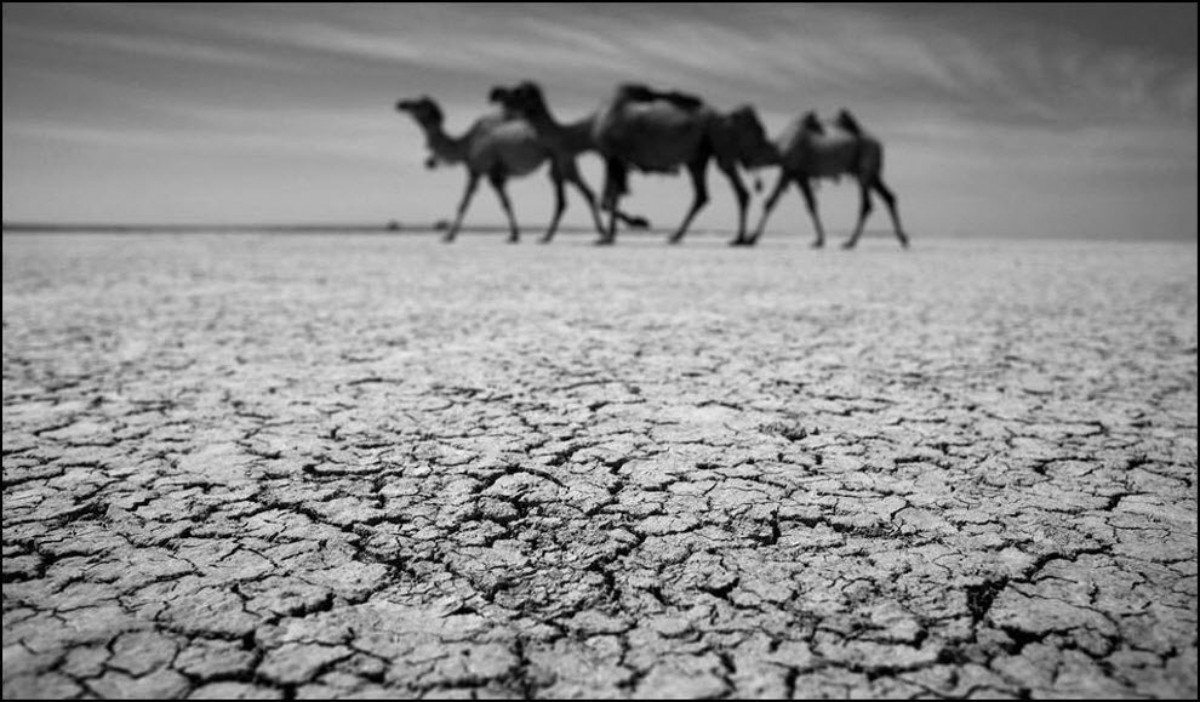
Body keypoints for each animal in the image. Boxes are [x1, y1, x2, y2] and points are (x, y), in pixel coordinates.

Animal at [396, 96, 643, 242]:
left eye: (419, 104)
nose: (401, 103)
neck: (465, 144)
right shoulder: (496, 175)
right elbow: (506, 203)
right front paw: (514, 234)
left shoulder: (478, 169)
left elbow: (464, 202)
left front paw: (449, 235)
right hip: (558, 161)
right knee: (575, 195)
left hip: (563, 160)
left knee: (581, 193)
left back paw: (598, 232)